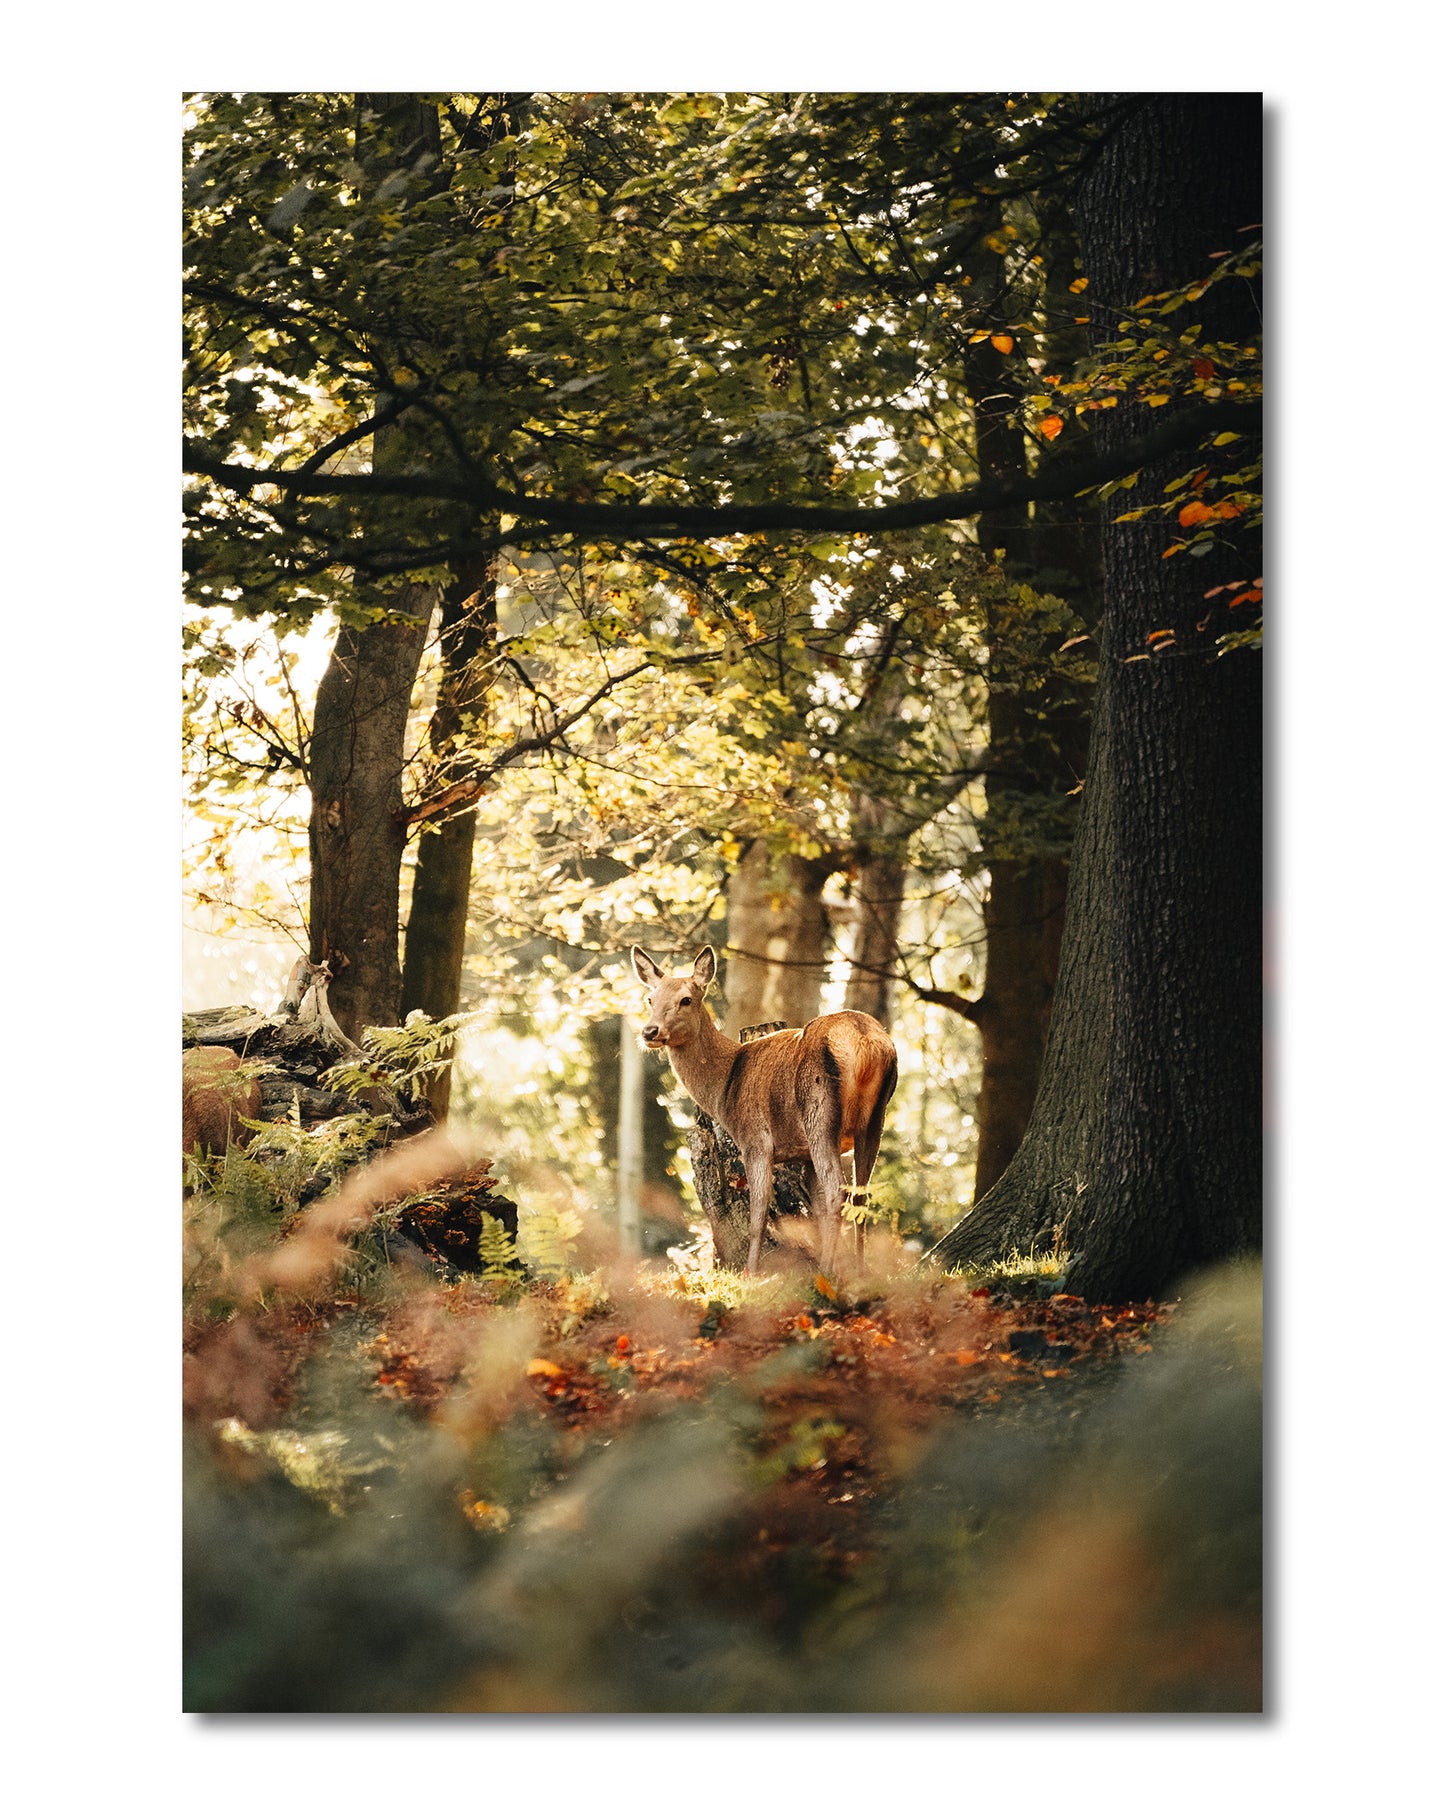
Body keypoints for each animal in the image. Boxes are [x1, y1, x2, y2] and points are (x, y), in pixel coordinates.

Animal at [627, 945, 891, 1270]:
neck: (726, 1087)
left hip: (819, 1111)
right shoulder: (802, 1153)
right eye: (650, 999)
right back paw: (859, 1271)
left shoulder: (755, 1140)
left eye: (686, 999)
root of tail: (865, 1042)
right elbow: (813, 1212)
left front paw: (750, 1273)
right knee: (861, 1195)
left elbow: (758, 1216)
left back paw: (828, 1273)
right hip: (875, 1119)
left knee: (837, 1191)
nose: (650, 1031)